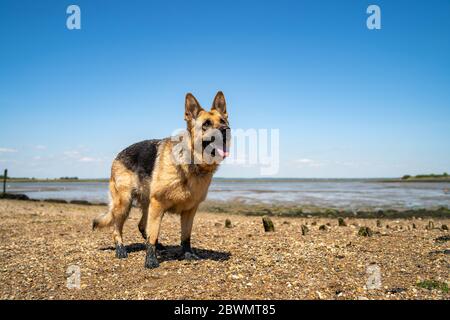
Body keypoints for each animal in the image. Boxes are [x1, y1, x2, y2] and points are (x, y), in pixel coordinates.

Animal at [92, 90, 230, 268]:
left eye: (223, 121)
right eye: (206, 123)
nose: (226, 129)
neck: (191, 162)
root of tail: (118, 155)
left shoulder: (189, 211)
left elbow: (185, 236)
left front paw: (187, 254)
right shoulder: (158, 205)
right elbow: (154, 233)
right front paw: (151, 259)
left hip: (146, 204)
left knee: (142, 225)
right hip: (124, 204)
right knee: (117, 228)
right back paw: (121, 249)